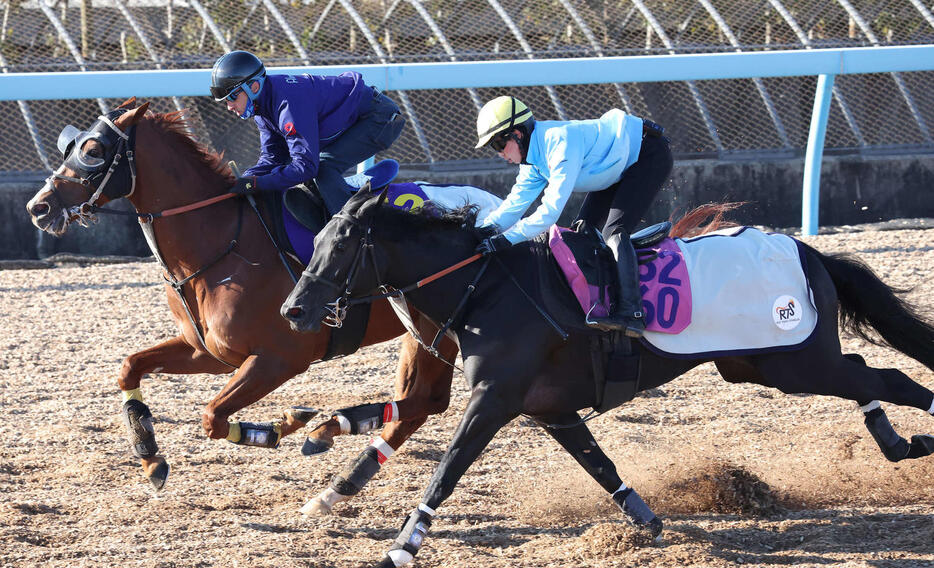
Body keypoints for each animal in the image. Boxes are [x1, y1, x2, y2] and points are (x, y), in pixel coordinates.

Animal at [25, 98, 458, 506]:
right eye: (69, 146)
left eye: (93, 150)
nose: (38, 207)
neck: (219, 245)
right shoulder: (210, 353)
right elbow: (131, 367)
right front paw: (150, 457)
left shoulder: (279, 359)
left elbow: (212, 417)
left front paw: (285, 424)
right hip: (422, 335)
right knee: (424, 403)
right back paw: (335, 481)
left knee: (425, 403)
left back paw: (329, 442)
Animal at [282, 187, 934, 568]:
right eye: (314, 241)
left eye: (341, 246)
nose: (294, 310)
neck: (487, 290)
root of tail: (808, 251)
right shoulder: (548, 406)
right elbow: (598, 463)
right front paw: (646, 521)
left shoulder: (494, 399)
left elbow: (448, 469)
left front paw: (403, 545)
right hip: (759, 362)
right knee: (866, 375)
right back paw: (895, 440)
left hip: (792, 359)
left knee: (890, 378)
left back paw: (915, 437)